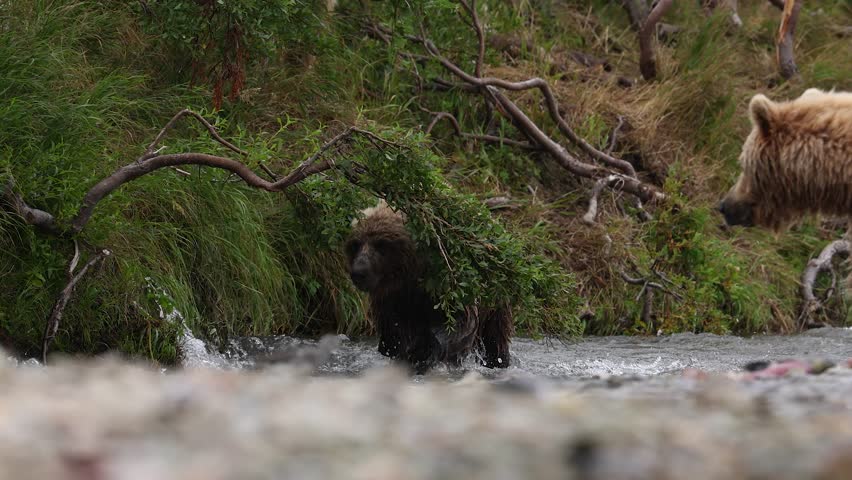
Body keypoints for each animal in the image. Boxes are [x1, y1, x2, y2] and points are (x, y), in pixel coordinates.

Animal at [344, 199, 513, 374]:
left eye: (381, 244)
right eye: (355, 244)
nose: (358, 272)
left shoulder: (451, 287)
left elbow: (458, 326)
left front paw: (424, 353)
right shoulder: (392, 300)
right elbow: (393, 335)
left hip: (495, 299)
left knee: (494, 338)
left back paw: (497, 361)